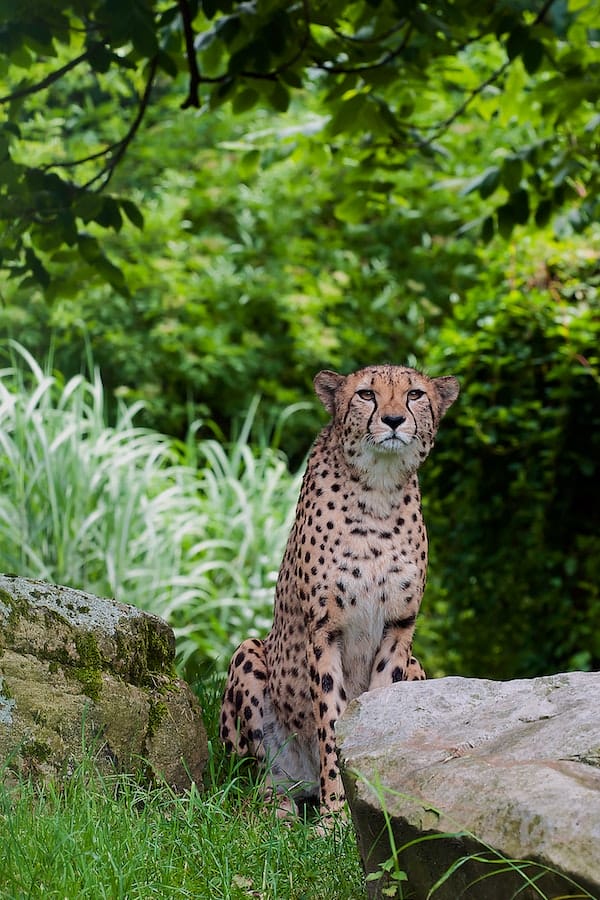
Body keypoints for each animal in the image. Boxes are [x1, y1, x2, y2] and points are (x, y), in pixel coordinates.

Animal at [220, 364, 459, 821]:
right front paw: (337, 816)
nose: (393, 420)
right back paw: (279, 806)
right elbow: (332, 722)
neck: (379, 491)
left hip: (417, 666)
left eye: (415, 394)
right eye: (366, 394)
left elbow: (377, 715)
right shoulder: (325, 630)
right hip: (250, 655)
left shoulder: (398, 628)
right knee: (253, 781)